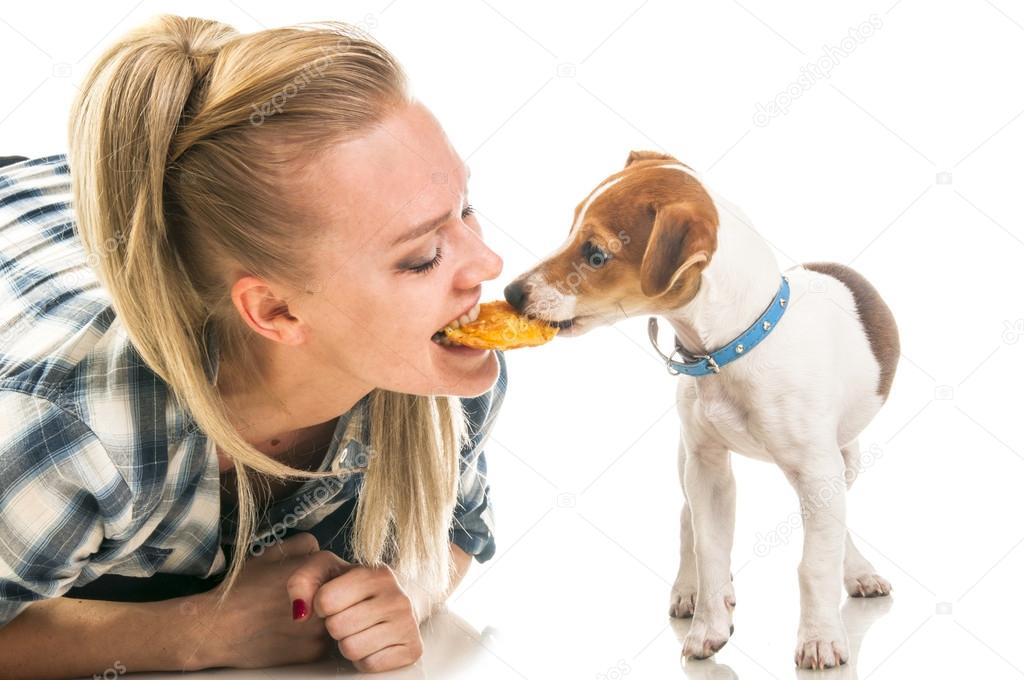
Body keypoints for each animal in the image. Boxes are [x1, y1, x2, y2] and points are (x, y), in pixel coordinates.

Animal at [503, 150, 897, 667]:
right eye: (569, 231)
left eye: (595, 255)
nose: (511, 293)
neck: (730, 350)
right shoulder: (707, 468)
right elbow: (710, 549)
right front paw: (710, 625)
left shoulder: (817, 470)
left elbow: (816, 562)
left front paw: (820, 637)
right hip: (687, 458)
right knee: (688, 521)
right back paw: (691, 590)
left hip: (843, 458)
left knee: (835, 524)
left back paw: (858, 571)